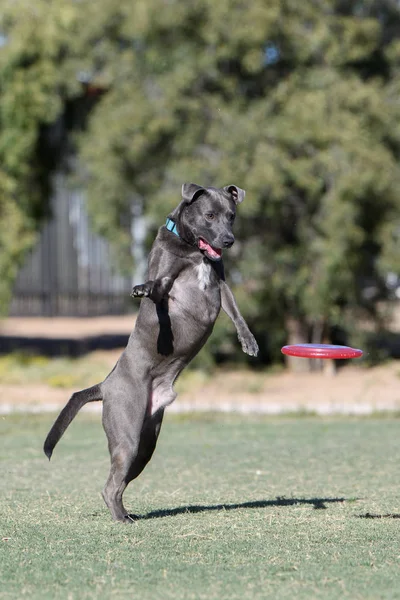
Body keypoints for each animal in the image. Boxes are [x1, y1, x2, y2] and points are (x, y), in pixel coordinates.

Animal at [43, 182, 256, 520]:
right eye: (209, 215)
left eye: (231, 216)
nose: (228, 240)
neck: (193, 251)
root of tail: (104, 385)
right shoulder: (167, 279)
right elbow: (157, 288)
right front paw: (143, 289)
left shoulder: (222, 284)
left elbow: (237, 313)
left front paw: (249, 342)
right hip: (127, 434)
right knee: (109, 486)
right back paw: (121, 519)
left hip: (145, 444)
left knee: (118, 482)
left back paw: (127, 514)